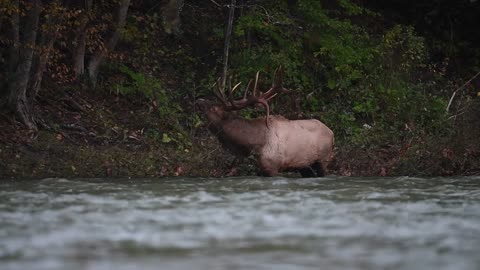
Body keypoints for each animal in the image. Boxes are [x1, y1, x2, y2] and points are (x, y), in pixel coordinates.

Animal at [195, 67, 334, 177]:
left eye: (214, 108)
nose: (199, 100)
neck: (253, 144)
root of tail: (332, 133)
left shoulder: (272, 167)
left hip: (323, 159)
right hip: (305, 166)